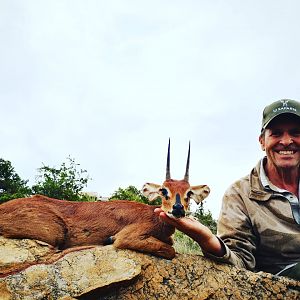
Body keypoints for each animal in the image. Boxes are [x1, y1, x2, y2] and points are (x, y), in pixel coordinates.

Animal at [0, 142, 210, 258]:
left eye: (188, 193)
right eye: (163, 190)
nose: (178, 209)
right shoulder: (128, 237)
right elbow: (170, 250)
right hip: (55, 233)